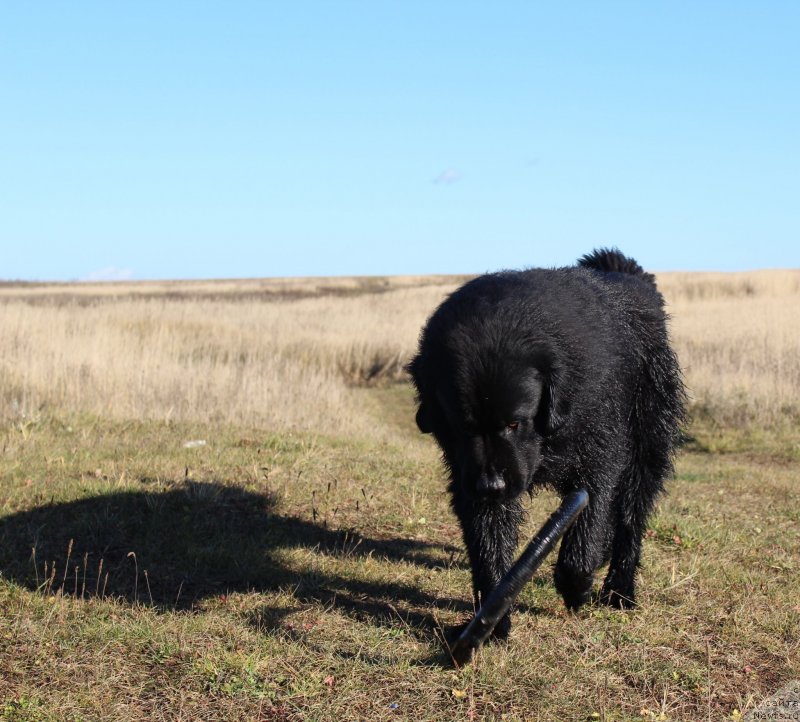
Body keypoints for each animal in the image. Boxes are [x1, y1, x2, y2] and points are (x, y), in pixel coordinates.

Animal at [410, 248, 684, 636]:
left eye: (515, 422)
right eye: (462, 426)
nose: (492, 486)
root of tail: (630, 277)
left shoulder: (599, 453)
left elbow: (587, 527)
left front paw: (576, 585)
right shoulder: (471, 473)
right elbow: (488, 540)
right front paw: (492, 618)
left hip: (649, 437)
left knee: (631, 516)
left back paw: (619, 590)